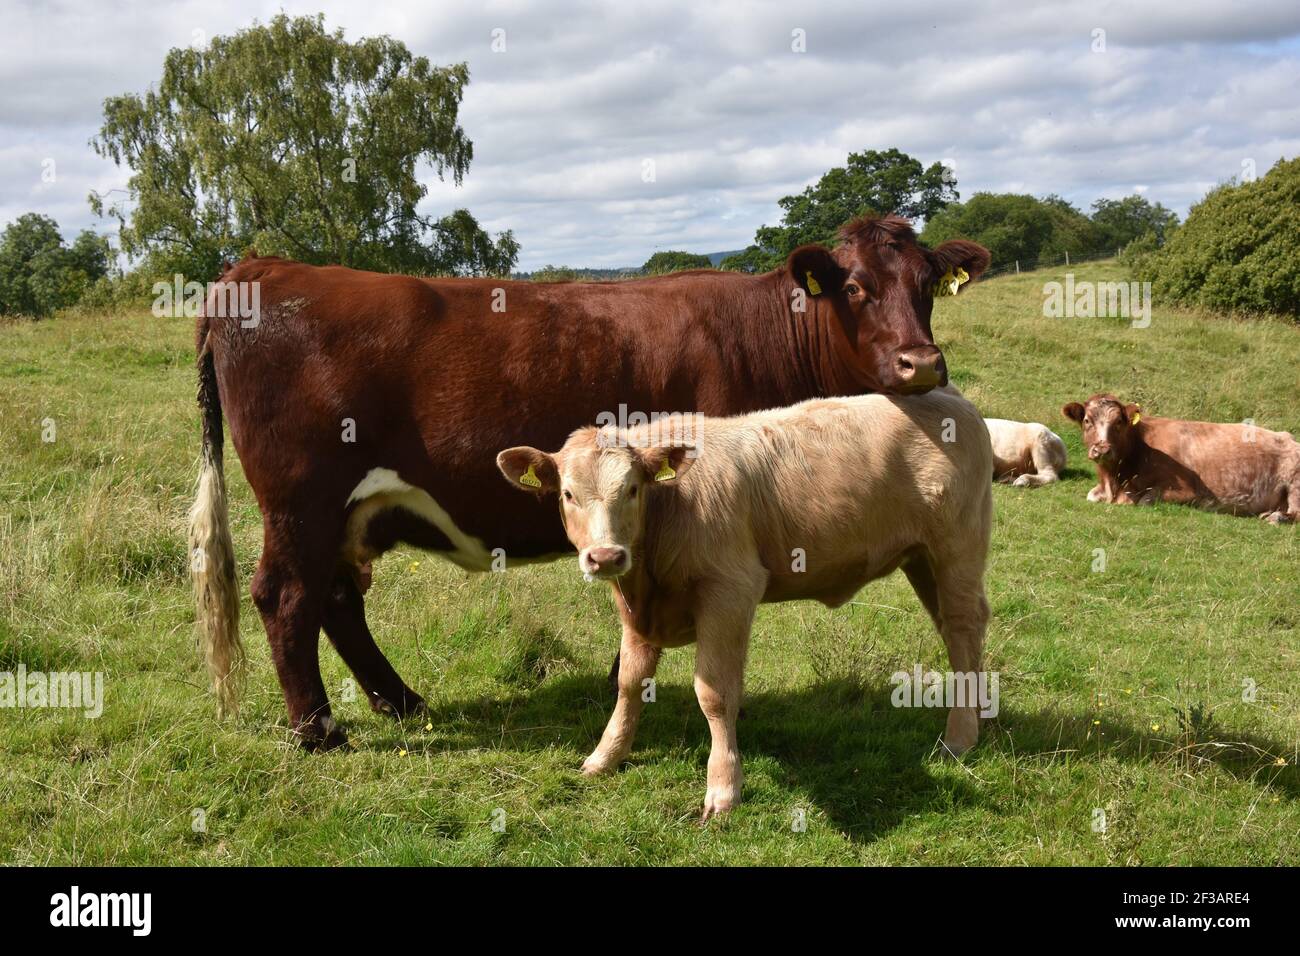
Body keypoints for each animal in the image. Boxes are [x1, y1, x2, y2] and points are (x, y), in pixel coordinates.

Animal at [189, 215, 989, 749]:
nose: (922, 363)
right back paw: (320, 732)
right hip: (303, 500)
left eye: (928, 285)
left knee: (335, 599)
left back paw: (401, 702)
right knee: (287, 597)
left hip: (345, 511)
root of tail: (262, 269)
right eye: (853, 286)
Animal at [497, 386, 994, 819]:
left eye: (633, 490)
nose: (606, 556)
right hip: (922, 560)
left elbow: (714, 693)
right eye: (568, 494)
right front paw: (605, 756)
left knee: (963, 627)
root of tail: (948, 396)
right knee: (956, 630)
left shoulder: (730, 590)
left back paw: (960, 736)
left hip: (956, 547)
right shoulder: (638, 610)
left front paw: (722, 789)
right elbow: (630, 682)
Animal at [1062, 394, 1300, 522]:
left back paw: (1275, 517)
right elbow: (1090, 496)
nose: (1102, 449)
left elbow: (1145, 500)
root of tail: (1289, 437)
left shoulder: (1187, 492)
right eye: (1087, 420)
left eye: (1119, 422)